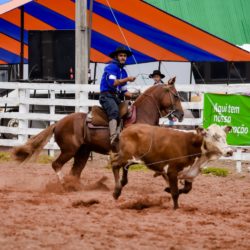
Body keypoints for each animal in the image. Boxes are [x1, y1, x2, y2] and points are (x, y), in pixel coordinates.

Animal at [12, 82, 184, 182]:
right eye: (176, 95)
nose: (182, 114)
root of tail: (58, 123)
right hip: (69, 150)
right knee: (57, 165)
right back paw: (63, 184)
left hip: (83, 152)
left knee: (75, 171)